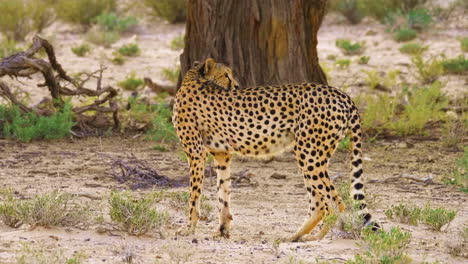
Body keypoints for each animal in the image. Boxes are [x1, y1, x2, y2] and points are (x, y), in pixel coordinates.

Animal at [173, 57, 376, 241]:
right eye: (226, 75)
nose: (237, 86)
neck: (193, 78)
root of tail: (340, 93)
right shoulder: (222, 155)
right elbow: (223, 193)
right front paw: (222, 230)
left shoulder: (196, 153)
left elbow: (194, 195)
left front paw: (189, 228)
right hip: (312, 156)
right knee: (320, 205)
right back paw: (296, 236)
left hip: (308, 155)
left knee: (336, 202)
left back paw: (317, 237)